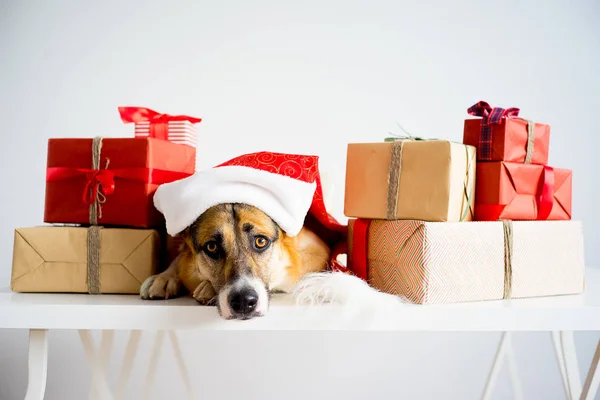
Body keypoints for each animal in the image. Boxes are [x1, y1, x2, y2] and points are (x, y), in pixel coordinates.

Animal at [139, 203, 330, 318]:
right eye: (212, 247)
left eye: (261, 242)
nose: (244, 302)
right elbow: (179, 259)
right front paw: (163, 277)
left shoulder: (317, 252)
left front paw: (207, 289)